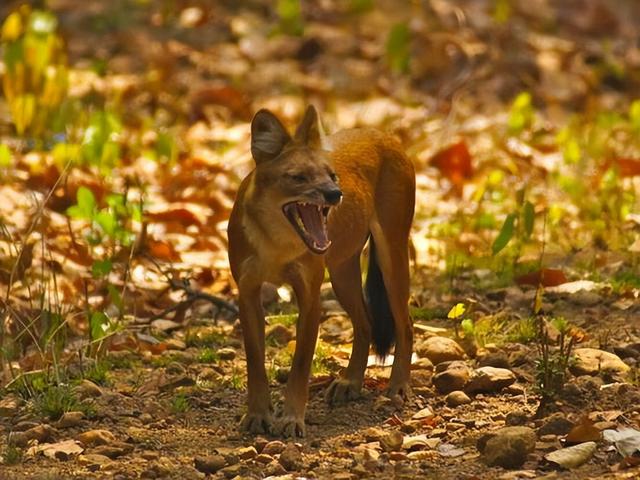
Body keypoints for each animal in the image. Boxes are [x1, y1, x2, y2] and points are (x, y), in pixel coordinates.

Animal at [228, 107, 418, 436]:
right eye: (298, 177)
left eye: (332, 175)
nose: (334, 194)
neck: (276, 245)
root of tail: (385, 135)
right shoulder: (247, 292)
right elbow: (255, 362)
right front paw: (258, 414)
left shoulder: (310, 296)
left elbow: (301, 364)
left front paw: (292, 419)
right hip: (342, 273)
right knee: (365, 323)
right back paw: (350, 382)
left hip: (392, 257)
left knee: (405, 325)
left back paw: (398, 386)